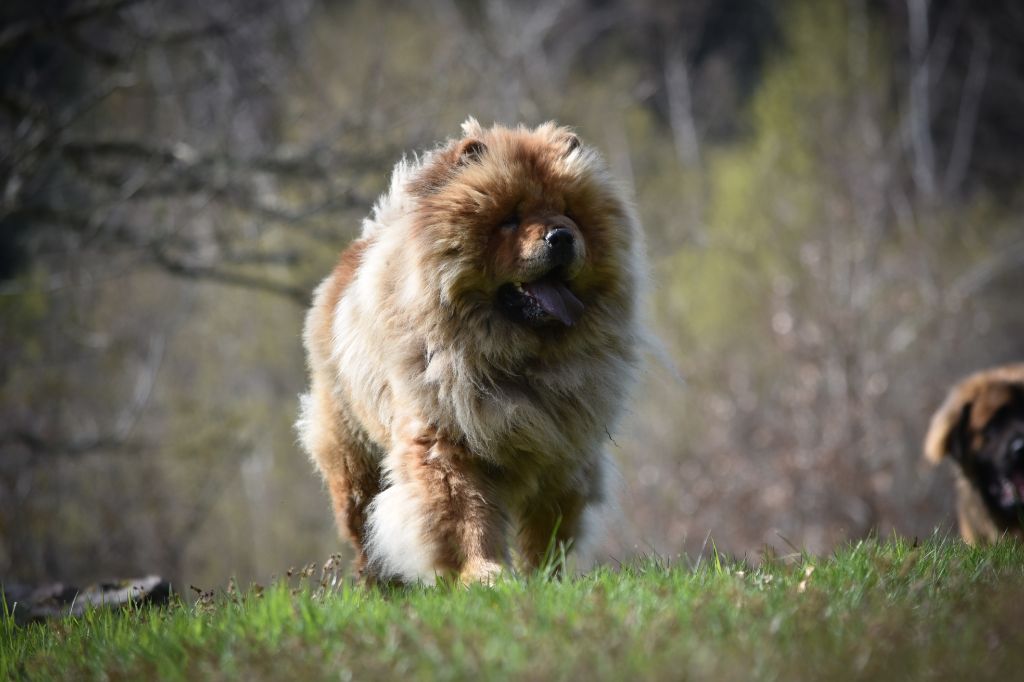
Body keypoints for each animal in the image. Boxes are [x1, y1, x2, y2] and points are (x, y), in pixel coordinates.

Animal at [296, 119, 643, 581]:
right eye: (509, 220)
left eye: (569, 213)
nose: (561, 236)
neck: (517, 360)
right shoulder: (445, 440)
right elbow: (463, 516)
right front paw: (483, 574)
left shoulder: (564, 449)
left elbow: (547, 529)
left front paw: (544, 578)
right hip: (352, 458)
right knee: (363, 527)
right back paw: (380, 584)